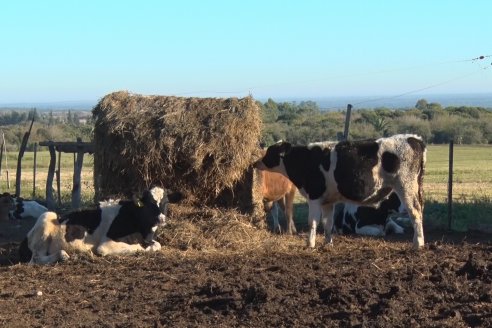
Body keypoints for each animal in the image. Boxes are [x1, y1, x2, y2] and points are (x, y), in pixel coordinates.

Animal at [18, 187, 184, 264]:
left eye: (166, 203)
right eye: (149, 204)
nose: (161, 219)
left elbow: (158, 244)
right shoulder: (105, 245)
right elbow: (138, 247)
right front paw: (143, 248)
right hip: (47, 216)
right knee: (36, 259)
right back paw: (63, 255)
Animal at [256, 133, 424, 249]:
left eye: (270, 152)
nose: (255, 162)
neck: (305, 159)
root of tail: (413, 138)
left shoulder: (314, 196)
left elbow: (312, 222)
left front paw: (310, 244)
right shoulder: (328, 201)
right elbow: (327, 223)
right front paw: (327, 243)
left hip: (406, 186)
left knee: (415, 213)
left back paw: (418, 244)